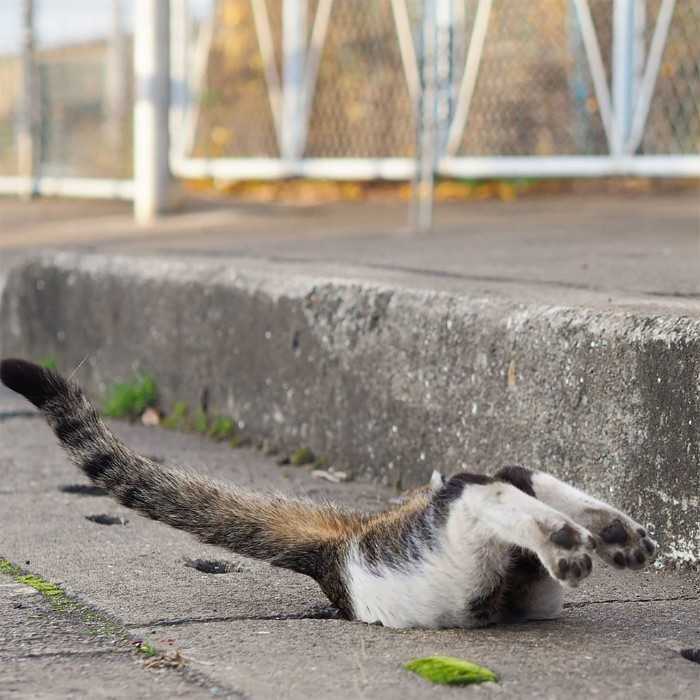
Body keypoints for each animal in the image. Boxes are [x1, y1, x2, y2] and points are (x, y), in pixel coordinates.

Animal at [0, 360, 656, 628]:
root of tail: (340, 552)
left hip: (470, 548)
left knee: (494, 481)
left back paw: (597, 535)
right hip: (478, 560)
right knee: (496, 481)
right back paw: (595, 537)